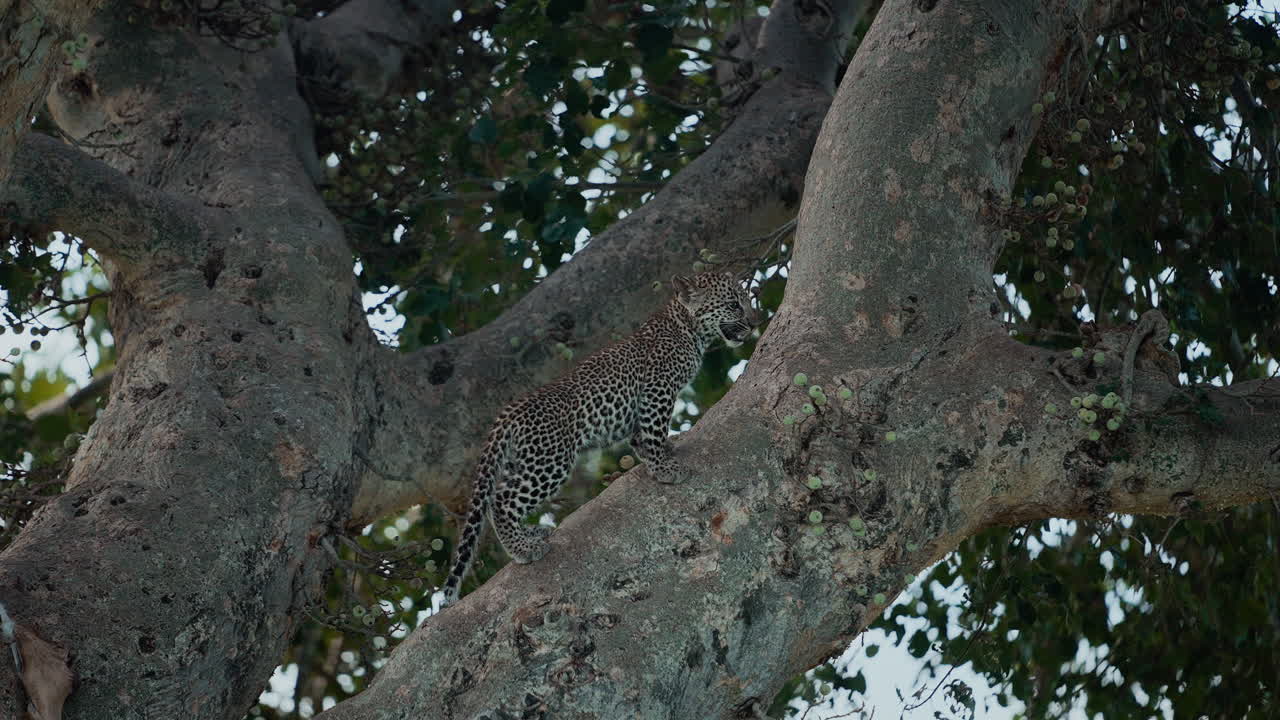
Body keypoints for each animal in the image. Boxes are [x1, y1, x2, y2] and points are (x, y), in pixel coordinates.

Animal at [440, 271, 761, 606]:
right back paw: (523, 549)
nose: (755, 322)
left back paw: (528, 535)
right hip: (550, 460)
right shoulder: (657, 389)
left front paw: (661, 452)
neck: (687, 328)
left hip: (526, 458)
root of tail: (511, 410)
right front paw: (664, 468)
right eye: (733, 305)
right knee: (501, 501)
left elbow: (641, 438)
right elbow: (654, 430)